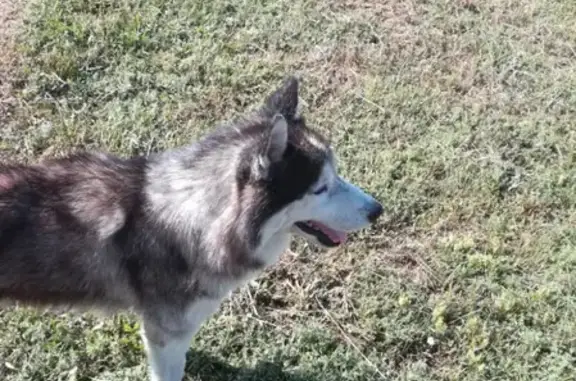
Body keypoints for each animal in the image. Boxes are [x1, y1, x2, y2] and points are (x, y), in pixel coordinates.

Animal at [0, 75, 382, 378]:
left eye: (336, 174)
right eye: (320, 188)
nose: (377, 211)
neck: (198, 213)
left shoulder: (164, 331)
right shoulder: (166, 333)